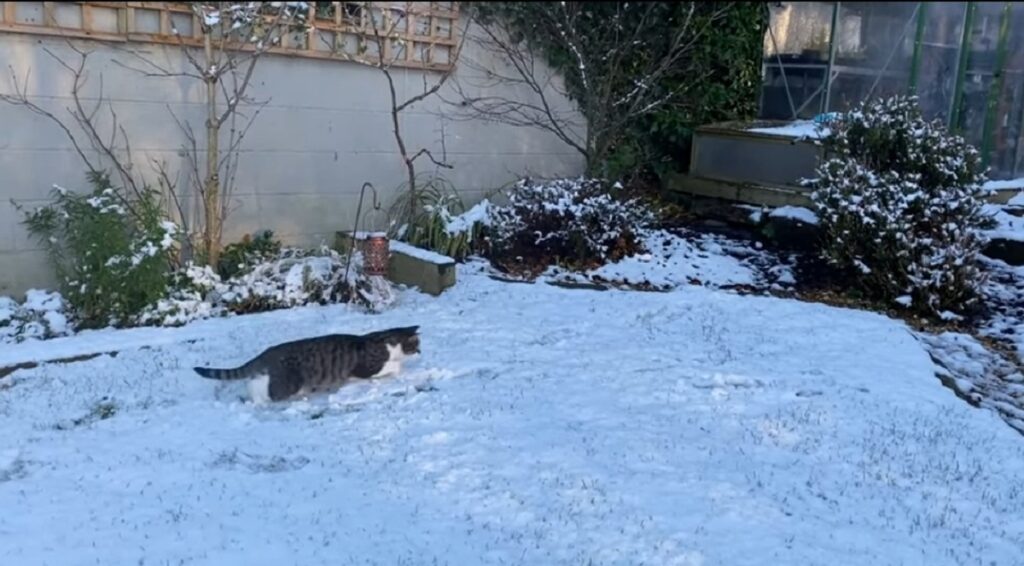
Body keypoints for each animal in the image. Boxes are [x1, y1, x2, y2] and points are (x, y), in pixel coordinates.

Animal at [193, 321, 421, 401]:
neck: (387, 340)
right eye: (417, 345)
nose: (421, 352)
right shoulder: (367, 368)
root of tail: (269, 352)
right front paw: (398, 366)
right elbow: (392, 367)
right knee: (270, 393)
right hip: (288, 383)